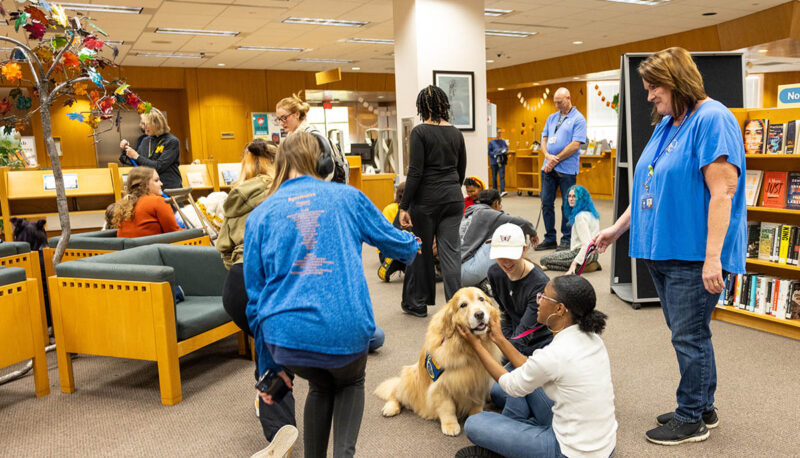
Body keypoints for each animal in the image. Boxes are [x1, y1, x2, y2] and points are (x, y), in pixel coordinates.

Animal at [376, 286, 500, 436]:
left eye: (481, 299)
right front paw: (450, 425)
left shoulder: (479, 381)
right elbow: (448, 408)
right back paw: (390, 408)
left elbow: (477, 402)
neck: (465, 348)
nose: (480, 314)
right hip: (409, 377)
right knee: (394, 393)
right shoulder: (441, 386)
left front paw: (477, 415)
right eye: (463, 305)